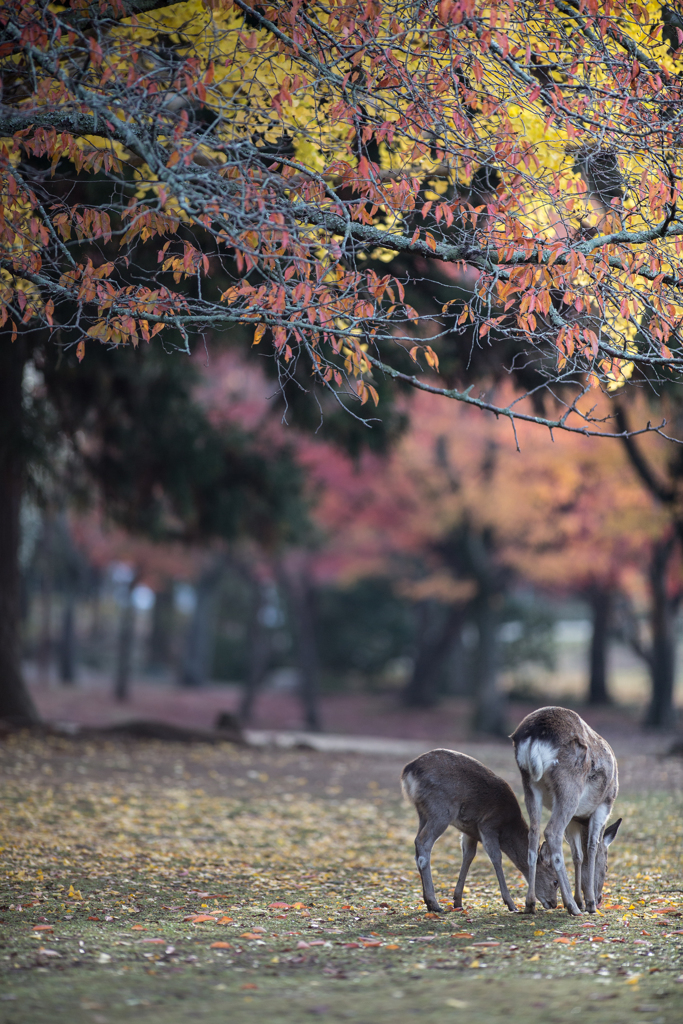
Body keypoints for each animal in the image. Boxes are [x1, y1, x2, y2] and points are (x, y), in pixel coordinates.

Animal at [401, 745, 561, 913]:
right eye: (555, 881)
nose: (554, 904)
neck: (508, 825)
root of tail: (409, 771)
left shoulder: (470, 831)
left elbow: (468, 856)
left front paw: (458, 901)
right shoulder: (488, 825)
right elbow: (496, 857)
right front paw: (511, 904)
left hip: (423, 813)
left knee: (416, 844)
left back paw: (428, 901)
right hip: (441, 811)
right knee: (423, 842)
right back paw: (434, 903)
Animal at [511, 704, 618, 921]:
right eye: (607, 867)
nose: (600, 898)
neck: (582, 821)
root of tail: (535, 734)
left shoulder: (575, 820)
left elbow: (577, 854)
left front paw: (581, 899)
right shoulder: (604, 805)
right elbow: (592, 847)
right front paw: (589, 903)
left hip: (530, 785)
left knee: (533, 834)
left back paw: (530, 904)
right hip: (569, 787)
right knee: (551, 832)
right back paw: (571, 906)